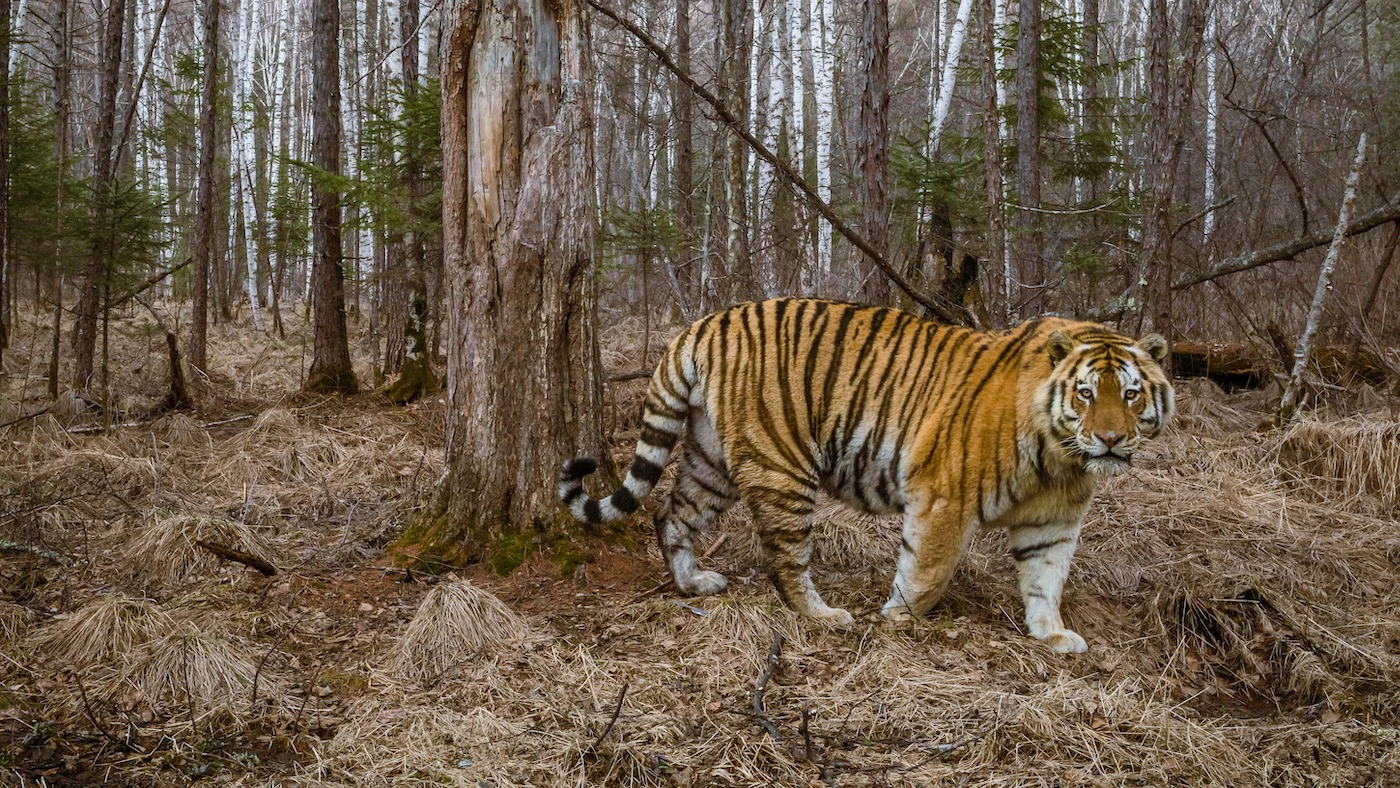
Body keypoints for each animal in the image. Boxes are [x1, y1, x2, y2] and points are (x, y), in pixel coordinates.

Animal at [559, 298, 1174, 653]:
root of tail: (705, 323)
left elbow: (1047, 580)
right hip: (781, 465)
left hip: (711, 461)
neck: (1061, 459)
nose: (1111, 439)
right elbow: (926, 573)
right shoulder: (944, 498)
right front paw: (898, 621)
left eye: (1131, 394)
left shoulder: (1054, 522)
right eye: (1086, 393)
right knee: (784, 559)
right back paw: (826, 616)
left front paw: (1052, 633)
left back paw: (694, 584)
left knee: (671, 514)